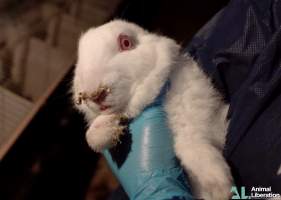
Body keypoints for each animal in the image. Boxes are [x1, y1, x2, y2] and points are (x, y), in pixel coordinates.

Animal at [72, 19, 232, 199]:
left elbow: (188, 138)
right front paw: (107, 130)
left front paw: (219, 185)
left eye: (126, 43)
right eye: (80, 57)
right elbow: (91, 136)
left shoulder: (192, 100)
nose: (94, 94)